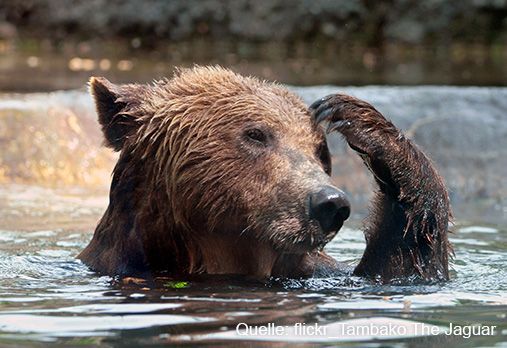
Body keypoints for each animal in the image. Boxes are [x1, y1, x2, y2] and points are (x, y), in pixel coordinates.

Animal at [79, 66, 452, 282]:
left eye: (320, 151)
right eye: (256, 134)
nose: (330, 202)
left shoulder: (321, 275)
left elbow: (399, 270)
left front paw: (352, 114)